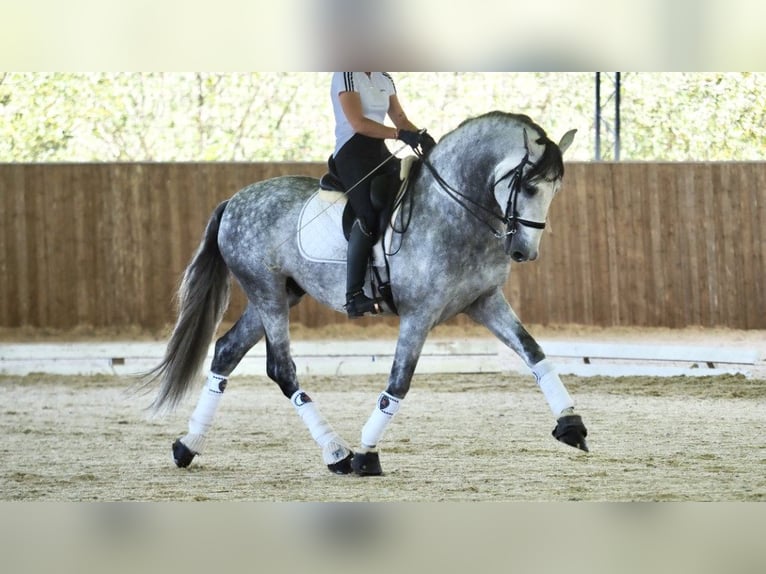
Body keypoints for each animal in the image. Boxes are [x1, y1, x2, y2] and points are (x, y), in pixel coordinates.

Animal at [144, 112, 588, 476]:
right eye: (528, 186)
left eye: (555, 189)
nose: (524, 252)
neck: (454, 212)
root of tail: (234, 200)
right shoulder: (419, 314)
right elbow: (398, 384)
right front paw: (367, 454)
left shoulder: (484, 301)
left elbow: (534, 352)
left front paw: (571, 425)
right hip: (265, 291)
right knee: (282, 369)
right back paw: (337, 453)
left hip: (278, 294)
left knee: (227, 351)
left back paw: (188, 445)